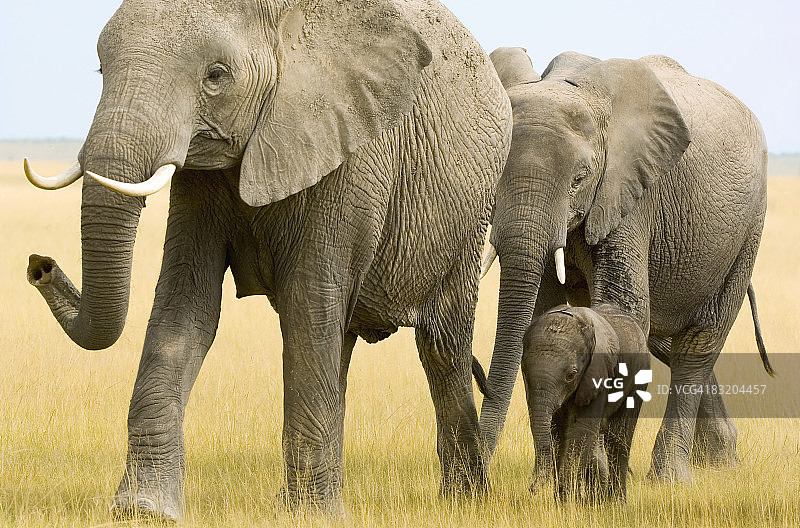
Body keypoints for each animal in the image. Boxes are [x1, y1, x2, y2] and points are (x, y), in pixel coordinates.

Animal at [23, 0, 512, 520]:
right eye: (100, 69)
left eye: (216, 75)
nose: (40, 265)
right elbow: (186, 313)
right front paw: (144, 511)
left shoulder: (349, 152)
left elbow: (307, 310)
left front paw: (311, 518)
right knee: (339, 345)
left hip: (469, 218)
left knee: (440, 347)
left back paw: (465, 501)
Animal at [521, 304, 650, 502]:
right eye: (525, 371)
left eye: (571, 375)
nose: (533, 487)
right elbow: (557, 431)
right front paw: (563, 502)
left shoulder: (599, 372)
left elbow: (582, 430)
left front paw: (566, 504)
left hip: (640, 373)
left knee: (619, 437)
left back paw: (615, 503)